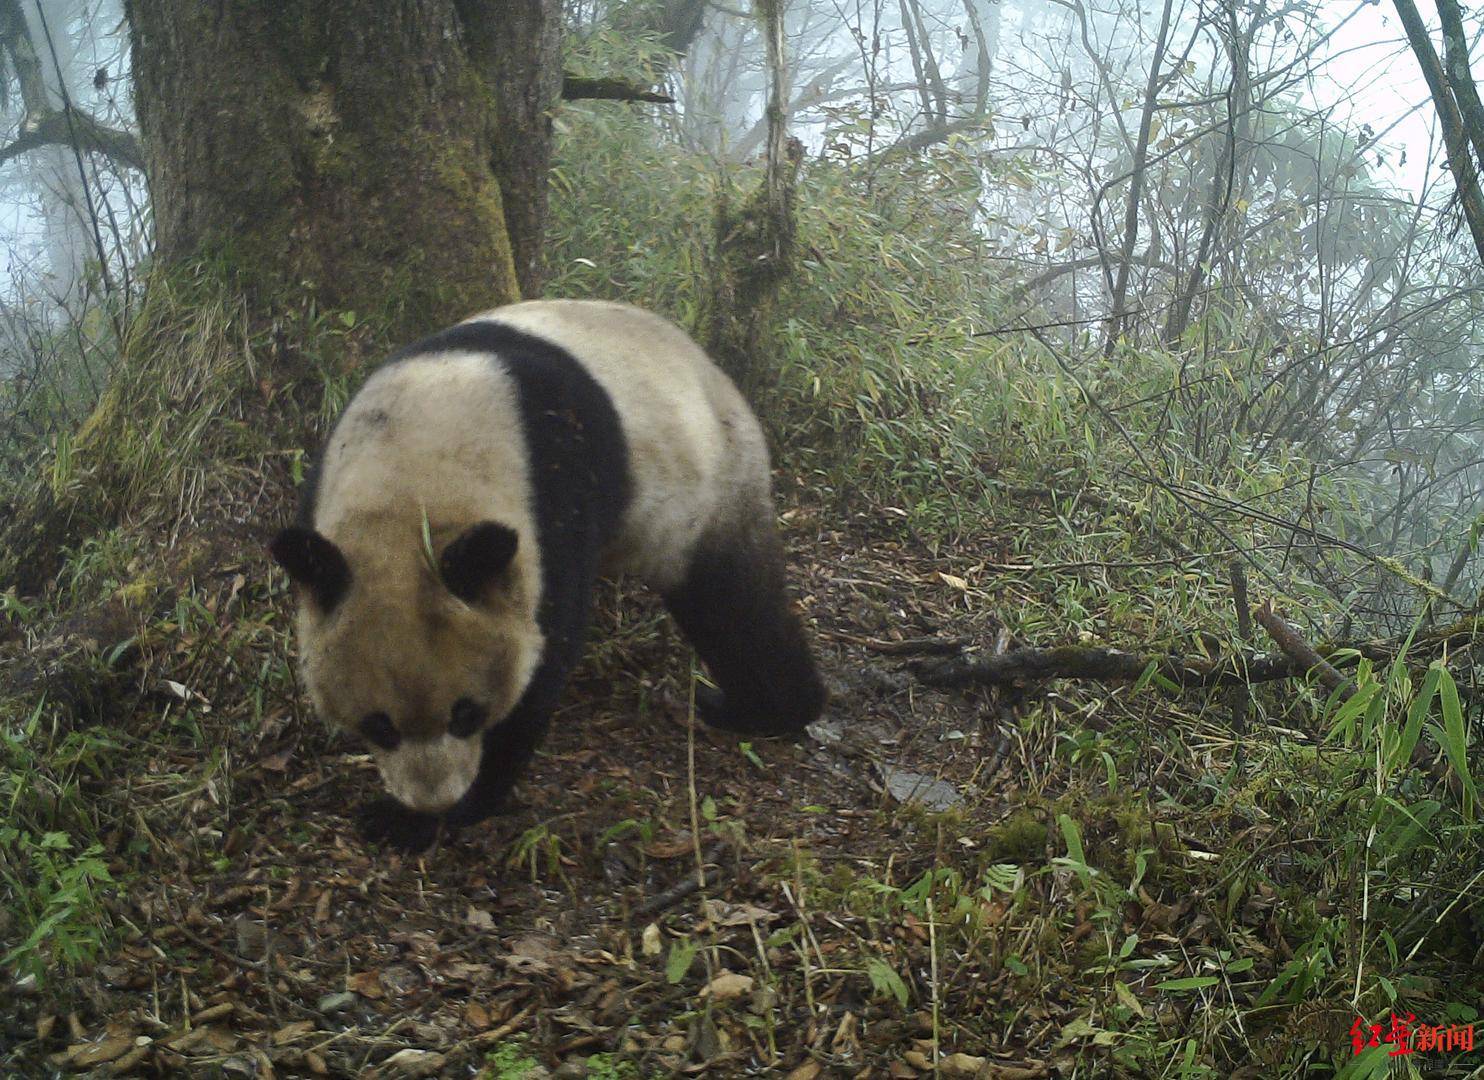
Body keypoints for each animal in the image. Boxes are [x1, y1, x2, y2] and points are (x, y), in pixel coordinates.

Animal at [267, 296, 825, 854]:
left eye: (466, 713)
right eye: (380, 725)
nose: (435, 801)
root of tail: (715, 375)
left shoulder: (554, 492)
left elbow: (541, 659)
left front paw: (429, 816)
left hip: (709, 484)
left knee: (734, 607)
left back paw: (762, 708)